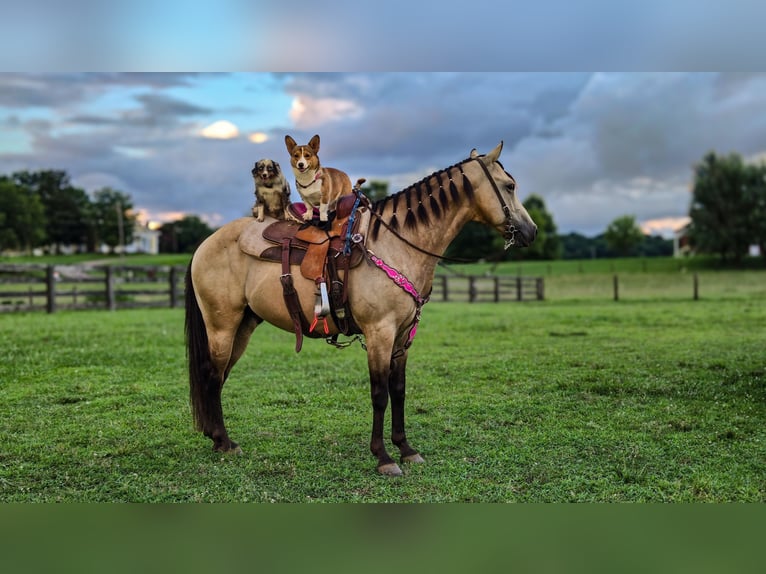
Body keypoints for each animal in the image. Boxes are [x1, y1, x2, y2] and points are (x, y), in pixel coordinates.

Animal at [185, 141, 537, 476]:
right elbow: (379, 394)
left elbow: (399, 390)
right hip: (222, 324)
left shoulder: (402, 337)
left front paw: (406, 449)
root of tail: (204, 245)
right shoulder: (380, 332)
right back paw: (224, 442)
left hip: (244, 324)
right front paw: (383, 457)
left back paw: (218, 438)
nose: (531, 231)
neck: (396, 245)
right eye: (509, 186)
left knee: (220, 376)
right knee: (212, 374)